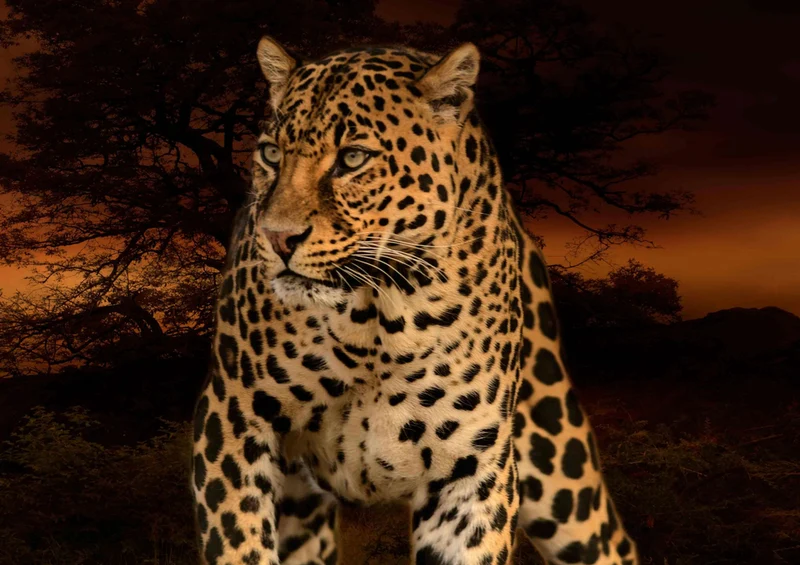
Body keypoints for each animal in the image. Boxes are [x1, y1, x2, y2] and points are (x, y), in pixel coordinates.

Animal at [191, 35, 639, 565]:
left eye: (353, 158)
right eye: (270, 153)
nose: (278, 238)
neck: (376, 317)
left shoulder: (470, 469)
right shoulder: (232, 422)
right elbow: (239, 543)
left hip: (558, 465)